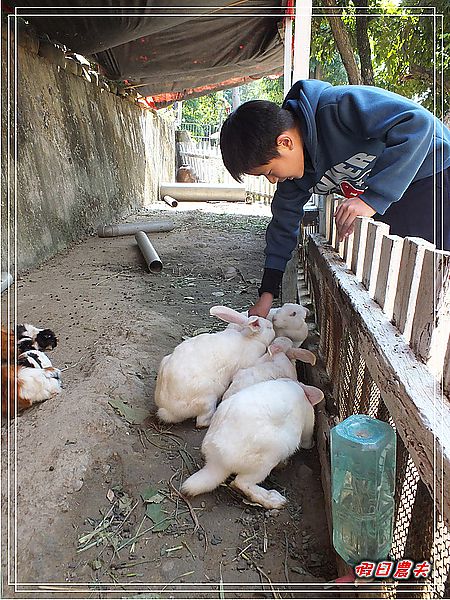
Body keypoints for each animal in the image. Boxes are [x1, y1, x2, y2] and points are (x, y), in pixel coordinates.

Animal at [181, 378, 326, 508]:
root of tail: (217, 460)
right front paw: (311, 444)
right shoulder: (308, 425)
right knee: (241, 483)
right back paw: (274, 500)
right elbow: (307, 437)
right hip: (269, 457)